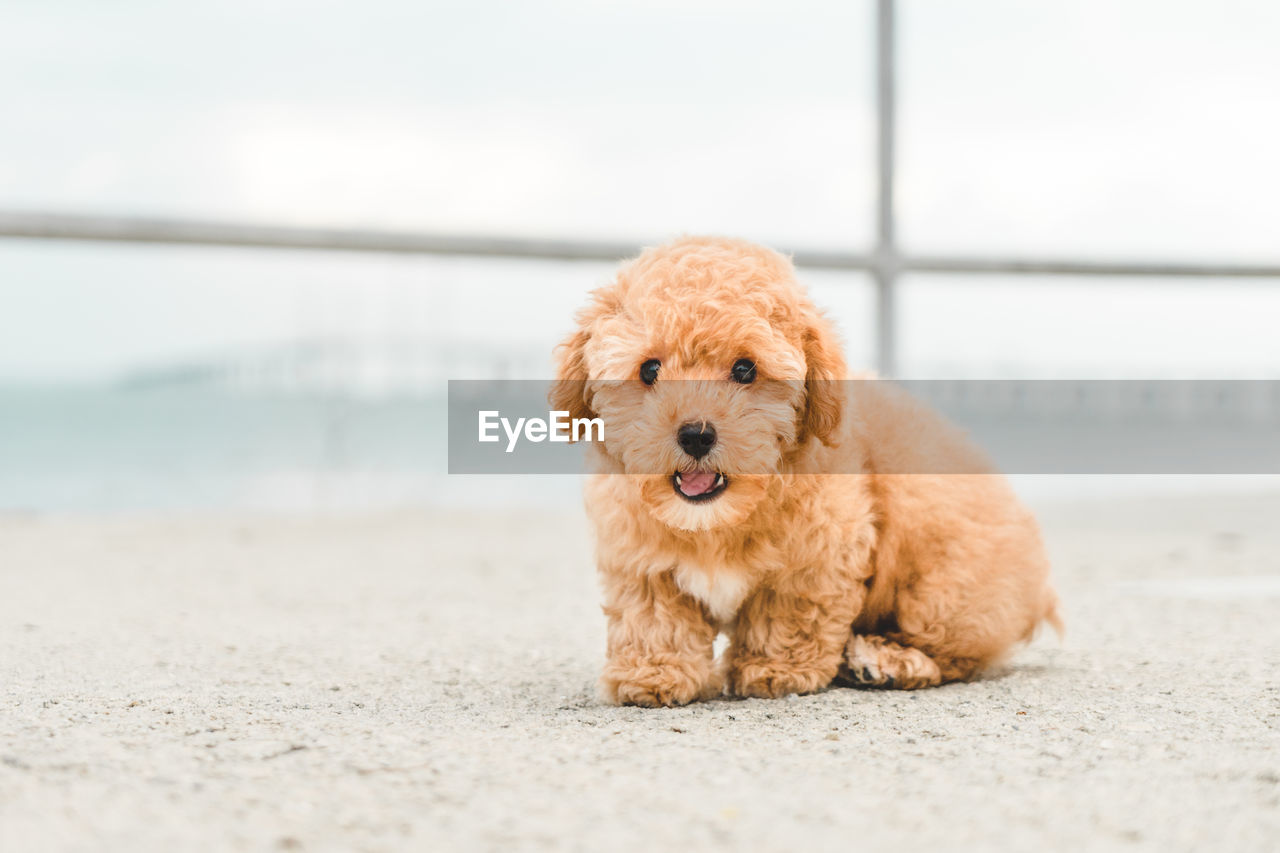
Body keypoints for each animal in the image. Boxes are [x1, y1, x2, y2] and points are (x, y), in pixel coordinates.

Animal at [550, 234, 1059, 701]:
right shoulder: (639, 557)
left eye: (745, 369)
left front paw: (777, 670)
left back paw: (888, 661)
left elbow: (790, 607)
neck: (716, 519)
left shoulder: (822, 550)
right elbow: (654, 614)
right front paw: (656, 674)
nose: (696, 434)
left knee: (959, 652)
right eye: (650, 370)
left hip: (944, 587)